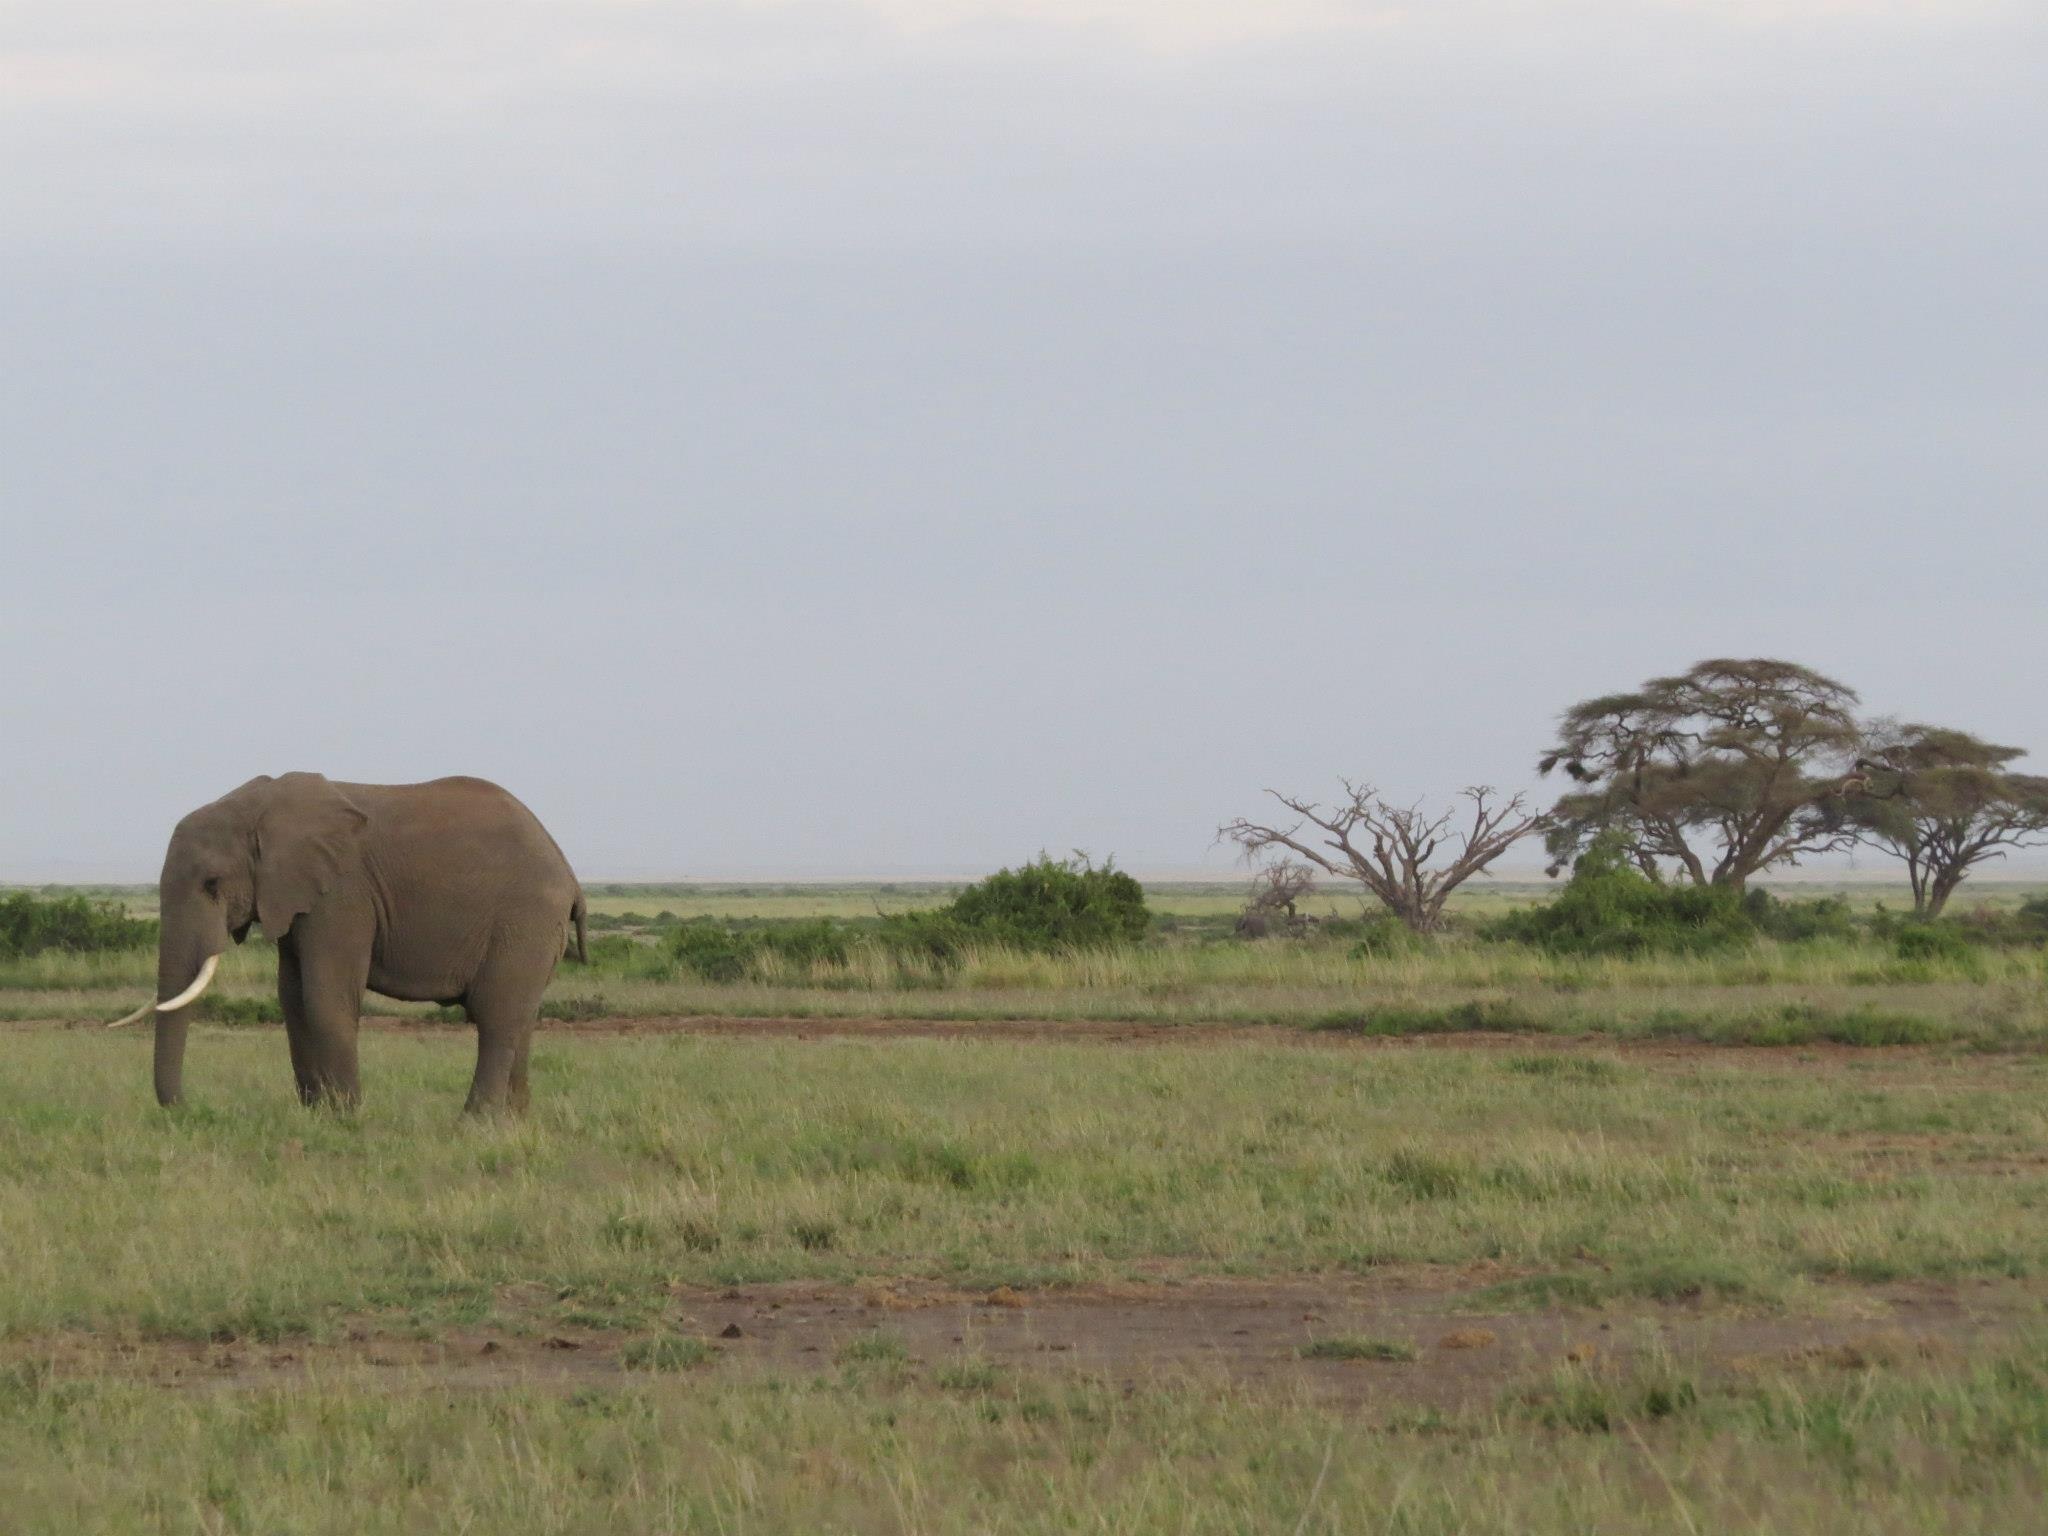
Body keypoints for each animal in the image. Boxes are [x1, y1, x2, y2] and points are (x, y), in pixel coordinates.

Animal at [108, 774, 585, 1114]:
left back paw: (474, 1123)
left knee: (497, 1017)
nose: (185, 1109)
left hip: (524, 920)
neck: (258, 806)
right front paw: (317, 1114)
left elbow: (325, 998)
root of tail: (567, 869)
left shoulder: (341, 894)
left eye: (212, 884)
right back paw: (514, 1122)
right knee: (520, 1018)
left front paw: (347, 1117)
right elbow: (292, 999)